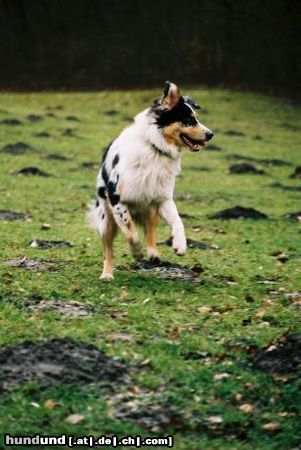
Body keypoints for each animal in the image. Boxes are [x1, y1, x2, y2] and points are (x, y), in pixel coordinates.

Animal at [89, 81, 213, 278]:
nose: (210, 134)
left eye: (195, 118)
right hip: (106, 218)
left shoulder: (162, 198)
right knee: (108, 248)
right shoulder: (117, 198)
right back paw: (107, 274)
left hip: (150, 208)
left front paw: (180, 245)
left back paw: (153, 254)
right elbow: (130, 231)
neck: (156, 148)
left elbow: (178, 221)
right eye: (188, 120)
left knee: (150, 232)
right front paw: (136, 251)